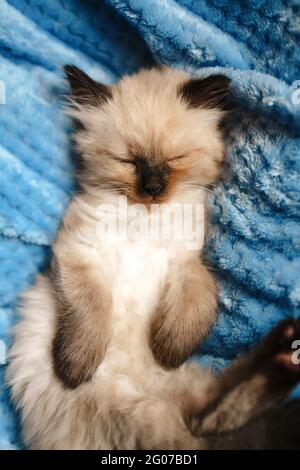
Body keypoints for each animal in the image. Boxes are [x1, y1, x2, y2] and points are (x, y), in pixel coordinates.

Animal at [6, 65, 300, 448]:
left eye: (175, 159)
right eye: (127, 162)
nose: (153, 188)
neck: (145, 218)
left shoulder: (186, 262)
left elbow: (199, 300)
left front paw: (166, 348)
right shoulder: (81, 254)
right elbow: (92, 313)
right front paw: (74, 368)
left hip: (175, 397)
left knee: (209, 419)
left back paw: (286, 349)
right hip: (143, 414)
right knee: (205, 422)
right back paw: (286, 352)